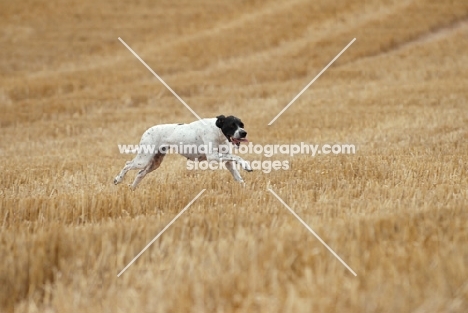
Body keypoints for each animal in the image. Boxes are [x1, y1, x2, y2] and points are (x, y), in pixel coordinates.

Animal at [113, 114, 252, 189]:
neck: (218, 130)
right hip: (143, 159)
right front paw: (247, 165)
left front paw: (245, 188)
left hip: (155, 162)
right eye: (232, 125)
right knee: (127, 164)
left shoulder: (227, 161)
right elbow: (238, 157)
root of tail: (147, 131)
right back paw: (118, 180)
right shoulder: (213, 156)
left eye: (242, 125)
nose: (244, 133)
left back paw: (132, 188)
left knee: (140, 174)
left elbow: (238, 177)